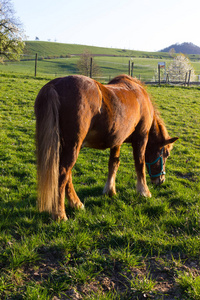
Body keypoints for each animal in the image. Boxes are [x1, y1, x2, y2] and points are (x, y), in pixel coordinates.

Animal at [34, 75, 178, 220]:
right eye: (166, 154)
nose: (161, 180)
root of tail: (54, 85)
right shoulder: (141, 137)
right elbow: (140, 164)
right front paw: (144, 191)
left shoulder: (117, 141)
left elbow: (113, 164)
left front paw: (110, 190)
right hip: (73, 146)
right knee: (63, 173)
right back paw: (60, 214)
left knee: (67, 175)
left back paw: (76, 204)